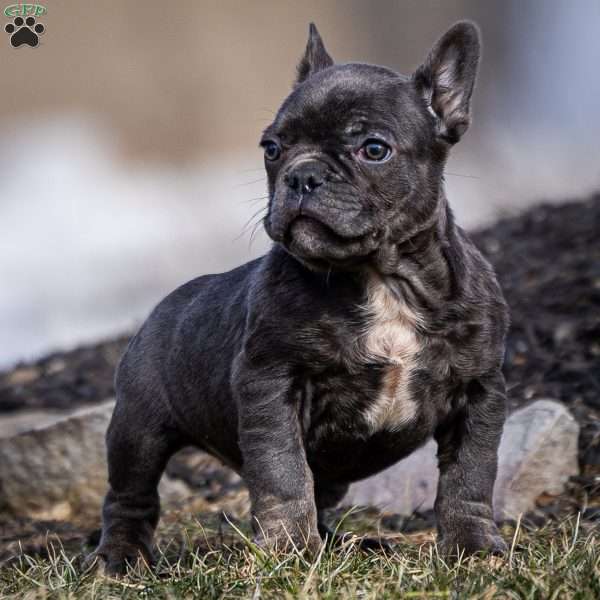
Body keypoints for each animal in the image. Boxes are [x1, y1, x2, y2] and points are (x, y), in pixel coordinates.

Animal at [90, 21, 510, 576]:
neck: (379, 277)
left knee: (324, 491)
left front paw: (473, 546)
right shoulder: (272, 384)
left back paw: (346, 544)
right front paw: (287, 552)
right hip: (138, 427)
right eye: (271, 148)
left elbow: (470, 475)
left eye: (373, 149)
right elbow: (284, 472)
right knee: (130, 494)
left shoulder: (480, 390)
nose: (302, 174)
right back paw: (122, 556)